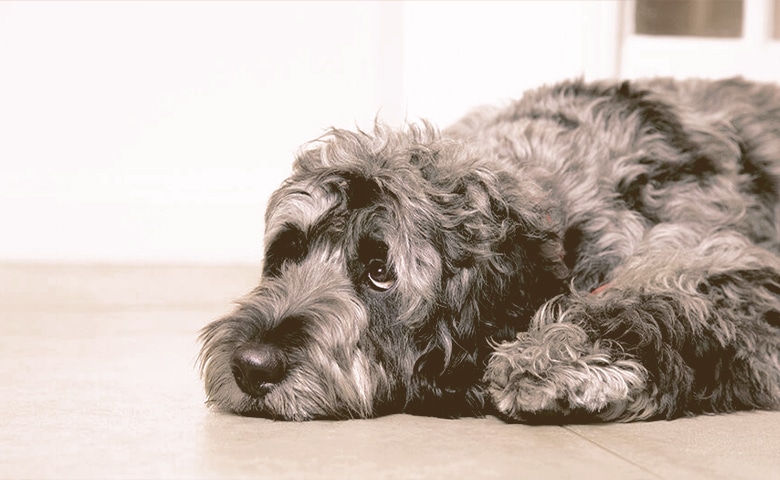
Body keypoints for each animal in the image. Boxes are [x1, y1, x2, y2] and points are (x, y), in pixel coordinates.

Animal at [198, 77, 780, 422]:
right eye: (290, 249)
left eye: (381, 271)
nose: (250, 365)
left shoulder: (736, 269)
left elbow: (671, 296)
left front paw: (552, 355)